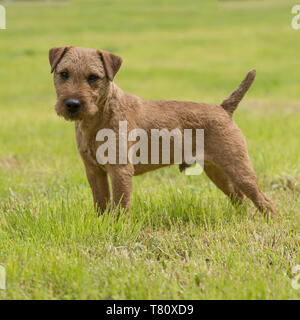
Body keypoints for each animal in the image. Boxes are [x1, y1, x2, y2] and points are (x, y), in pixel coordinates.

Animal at [48, 46, 274, 216]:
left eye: (93, 77)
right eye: (64, 74)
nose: (72, 104)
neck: (99, 116)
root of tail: (224, 109)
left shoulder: (120, 170)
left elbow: (121, 206)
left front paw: (119, 230)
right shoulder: (94, 171)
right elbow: (101, 203)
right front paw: (102, 225)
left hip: (238, 166)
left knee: (265, 201)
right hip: (216, 170)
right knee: (239, 197)